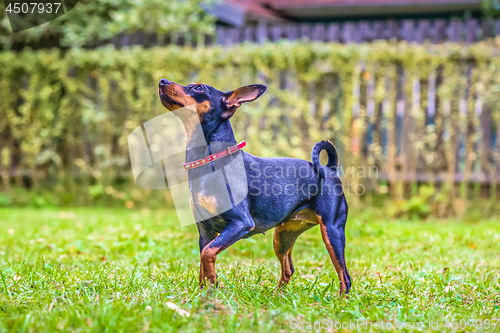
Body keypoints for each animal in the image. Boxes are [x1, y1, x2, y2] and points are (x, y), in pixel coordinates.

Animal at [157, 78, 352, 296]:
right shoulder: (205, 232)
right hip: (283, 235)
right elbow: (202, 263)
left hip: (332, 231)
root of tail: (329, 169)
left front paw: (214, 287)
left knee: (345, 276)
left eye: (198, 88)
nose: (162, 81)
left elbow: (207, 255)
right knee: (289, 268)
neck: (210, 160)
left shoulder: (240, 223)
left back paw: (340, 300)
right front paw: (204, 293)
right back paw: (277, 296)